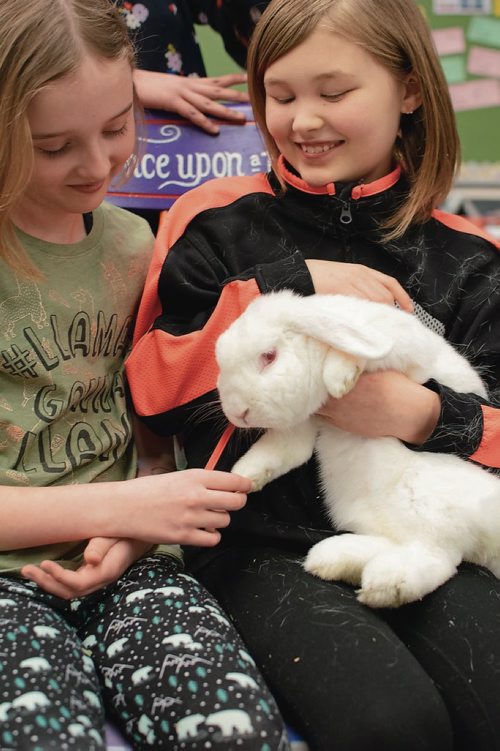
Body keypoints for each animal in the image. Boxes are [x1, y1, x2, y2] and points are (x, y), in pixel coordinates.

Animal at [215, 290, 500, 608]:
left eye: (269, 356)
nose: (237, 413)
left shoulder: (406, 348)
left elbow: (363, 354)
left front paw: (340, 378)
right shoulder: (302, 427)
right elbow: (282, 452)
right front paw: (242, 477)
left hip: (429, 501)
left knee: (441, 556)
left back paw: (385, 583)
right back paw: (334, 561)